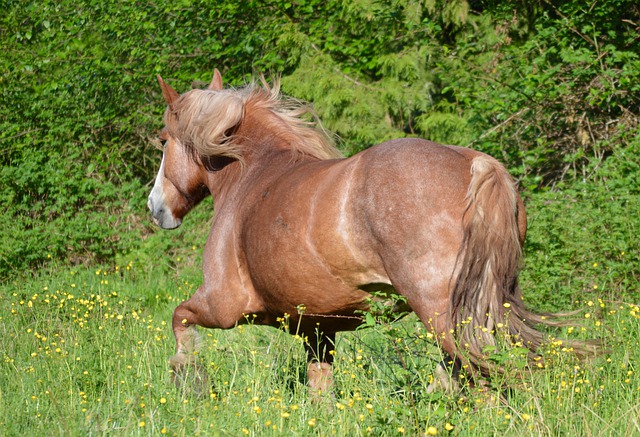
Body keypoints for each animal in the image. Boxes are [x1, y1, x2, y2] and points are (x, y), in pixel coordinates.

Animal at [146, 69, 596, 396]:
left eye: (164, 141)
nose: (156, 208)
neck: (253, 175)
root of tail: (477, 165)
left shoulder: (223, 305)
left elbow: (179, 319)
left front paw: (186, 377)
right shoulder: (317, 327)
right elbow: (320, 387)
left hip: (444, 313)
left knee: (482, 377)